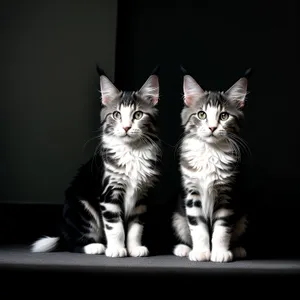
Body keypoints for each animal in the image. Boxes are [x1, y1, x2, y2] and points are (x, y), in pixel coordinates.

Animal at [30, 68, 162, 258]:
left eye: (138, 115)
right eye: (116, 114)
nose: (126, 128)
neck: (131, 152)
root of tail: (65, 233)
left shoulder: (141, 197)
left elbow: (135, 228)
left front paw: (135, 248)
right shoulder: (109, 193)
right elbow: (116, 227)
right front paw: (116, 249)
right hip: (81, 206)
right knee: (73, 244)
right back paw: (95, 246)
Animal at [172, 70, 250, 262]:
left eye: (224, 116)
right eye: (201, 115)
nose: (213, 127)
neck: (210, 151)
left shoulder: (226, 194)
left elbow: (222, 228)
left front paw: (220, 252)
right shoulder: (192, 195)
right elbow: (198, 228)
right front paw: (201, 252)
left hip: (243, 217)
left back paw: (237, 249)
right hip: (178, 217)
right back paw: (184, 249)